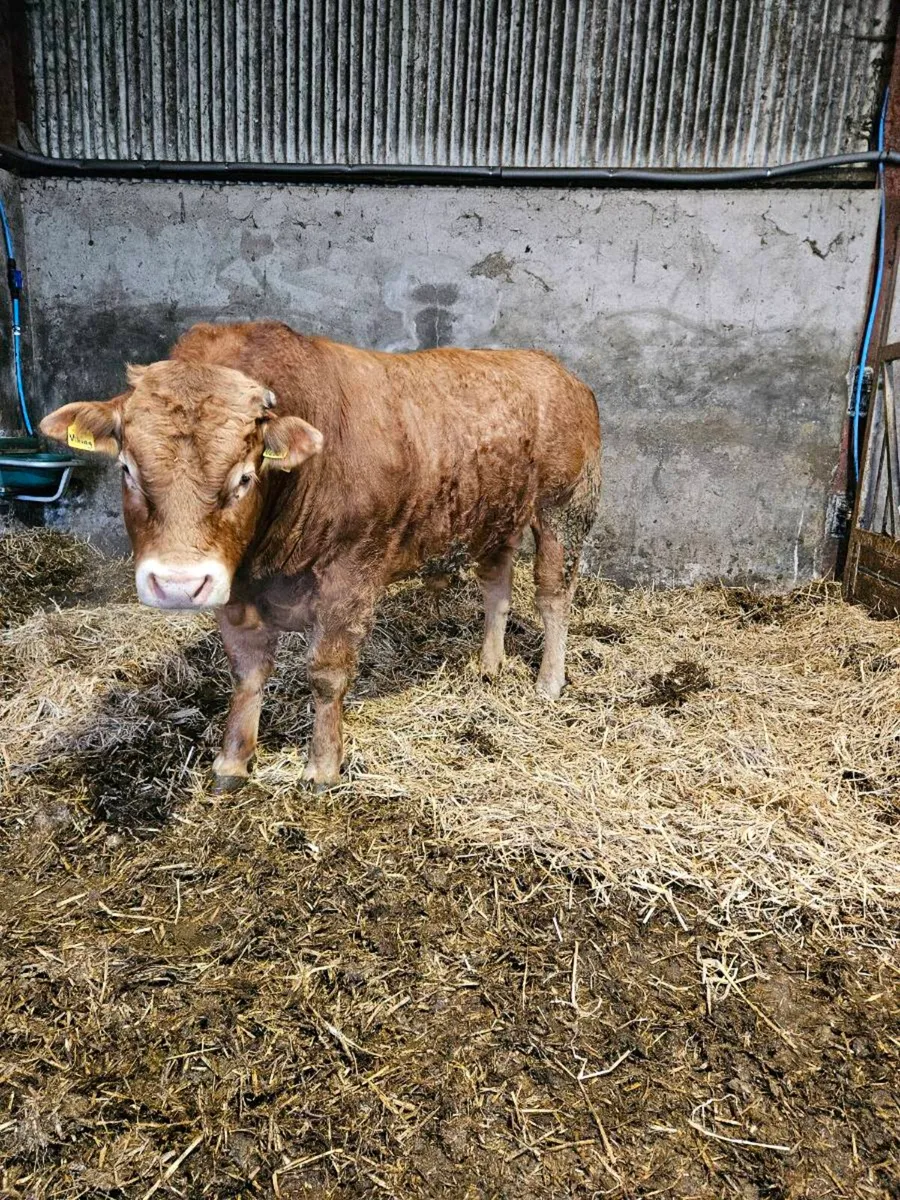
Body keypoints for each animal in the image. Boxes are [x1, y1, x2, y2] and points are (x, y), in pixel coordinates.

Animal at [41, 321, 601, 791]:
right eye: (128, 469)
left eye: (244, 477)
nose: (178, 584)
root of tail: (555, 368)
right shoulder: (234, 587)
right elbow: (247, 673)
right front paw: (232, 762)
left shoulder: (350, 581)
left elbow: (327, 676)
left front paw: (323, 766)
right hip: (493, 513)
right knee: (496, 586)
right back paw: (489, 664)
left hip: (564, 508)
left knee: (553, 595)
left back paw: (549, 681)